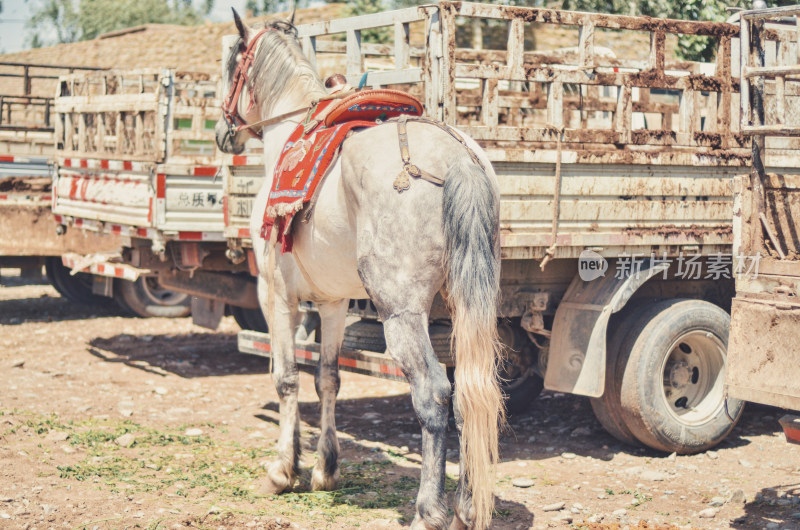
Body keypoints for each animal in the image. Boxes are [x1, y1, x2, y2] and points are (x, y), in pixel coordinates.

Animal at [217, 12, 506, 528]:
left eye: (232, 63)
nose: (221, 132)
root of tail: (457, 160)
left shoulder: (275, 295)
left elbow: (286, 377)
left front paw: (282, 471)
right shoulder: (332, 303)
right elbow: (327, 379)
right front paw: (325, 469)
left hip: (402, 315)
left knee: (434, 394)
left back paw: (428, 510)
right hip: (469, 308)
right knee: (472, 394)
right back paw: (466, 508)